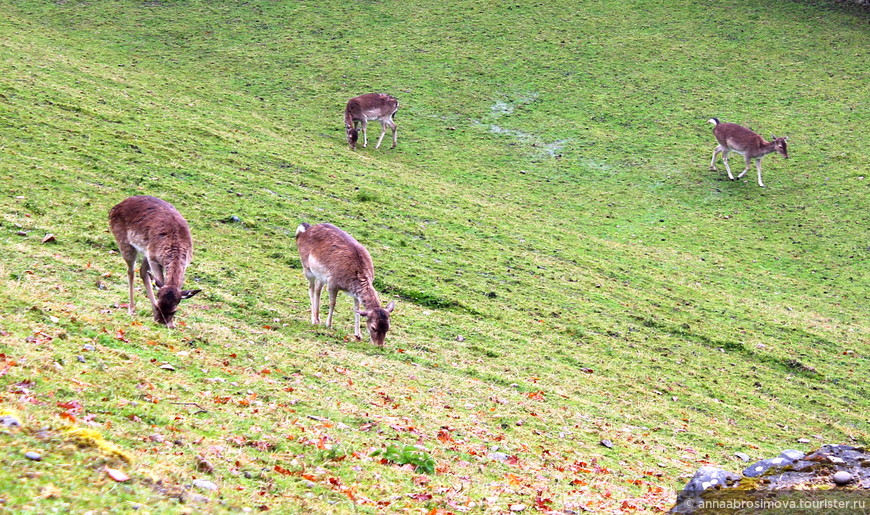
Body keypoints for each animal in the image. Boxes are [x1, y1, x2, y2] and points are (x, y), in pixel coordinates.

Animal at [109, 196, 201, 328]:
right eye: (158, 306)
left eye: (174, 311)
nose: (160, 322)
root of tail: (116, 206)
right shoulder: (153, 258)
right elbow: (159, 280)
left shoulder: (185, 262)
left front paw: (172, 324)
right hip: (125, 243)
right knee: (131, 271)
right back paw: (131, 309)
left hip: (145, 251)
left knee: (142, 271)